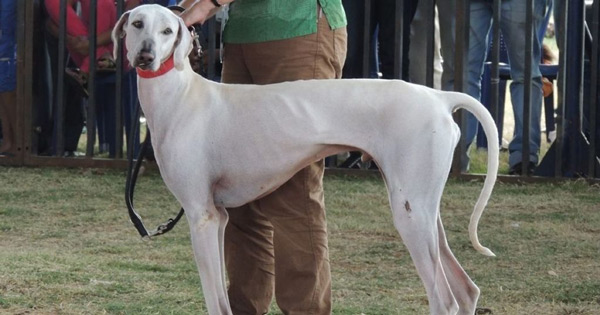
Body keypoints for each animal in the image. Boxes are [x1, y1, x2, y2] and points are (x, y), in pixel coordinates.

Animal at [115, 5, 500, 315]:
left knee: (445, 301)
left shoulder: (202, 217)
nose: (146, 57)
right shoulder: (219, 217)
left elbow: (214, 302)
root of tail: (438, 96)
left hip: (410, 214)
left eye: (167, 30)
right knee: (467, 290)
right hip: (422, 211)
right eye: (137, 23)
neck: (180, 94)